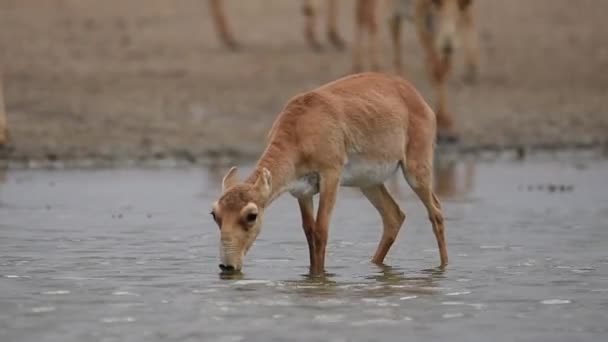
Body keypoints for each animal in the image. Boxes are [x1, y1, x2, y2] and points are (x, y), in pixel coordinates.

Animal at [354, 0, 478, 140]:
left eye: (464, 5)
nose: (448, 45)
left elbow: (443, 67)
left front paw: (447, 122)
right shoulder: (421, 14)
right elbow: (436, 69)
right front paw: (443, 121)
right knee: (369, 17)